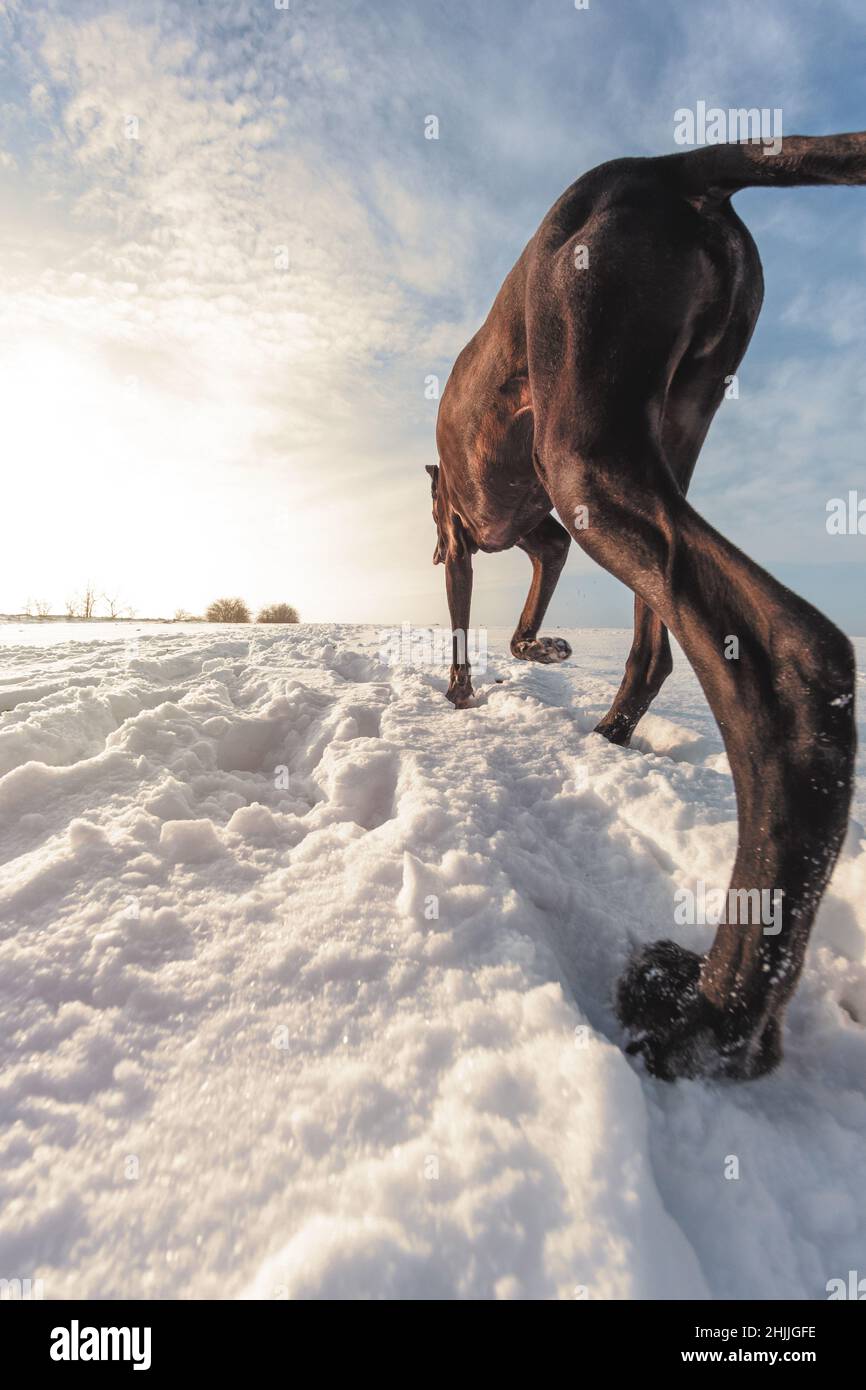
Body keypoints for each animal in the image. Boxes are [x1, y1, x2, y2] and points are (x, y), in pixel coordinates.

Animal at [430, 132, 861, 1084]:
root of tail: (674, 166)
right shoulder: (545, 538)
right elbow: (527, 619)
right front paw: (545, 652)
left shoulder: (476, 537)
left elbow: (465, 627)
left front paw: (459, 693)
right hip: (662, 436)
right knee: (660, 645)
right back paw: (610, 736)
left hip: (584, 451)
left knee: (789, 661)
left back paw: (715, 1009)